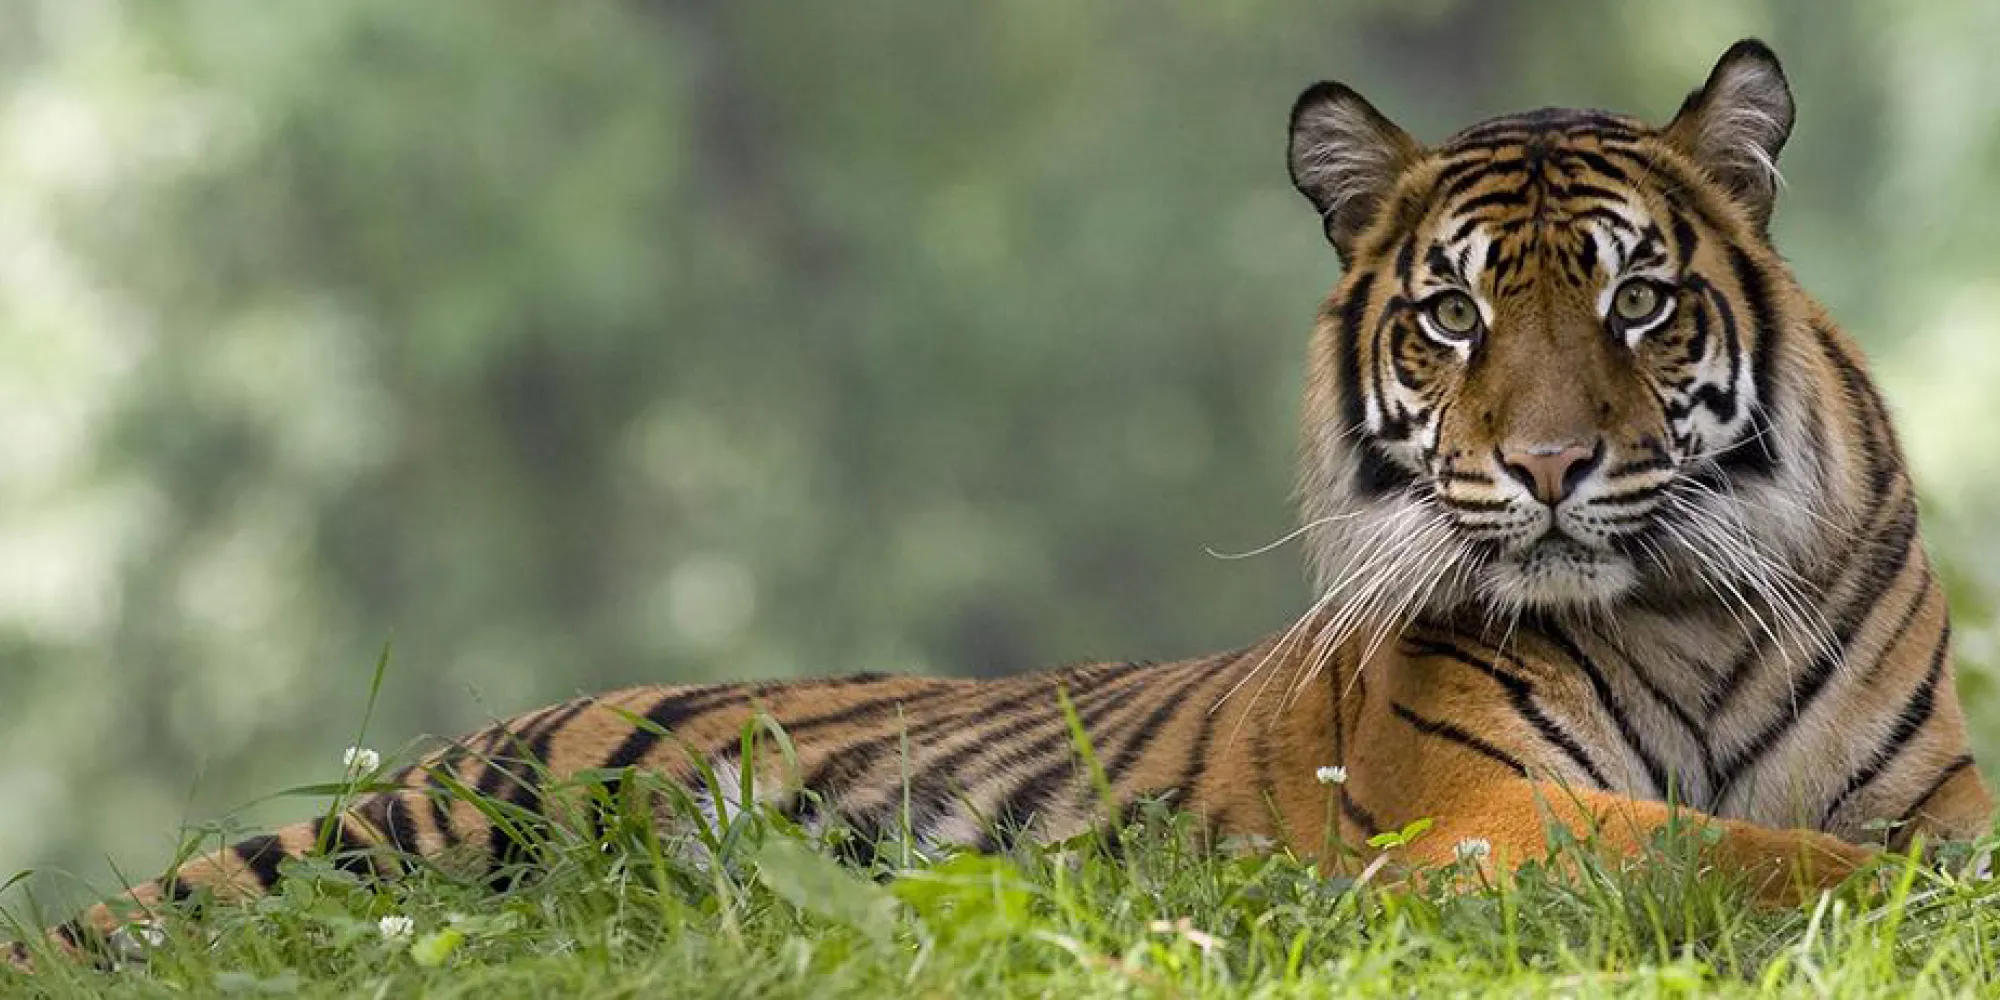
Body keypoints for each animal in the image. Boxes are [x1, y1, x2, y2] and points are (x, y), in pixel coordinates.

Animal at [12, 38, 1993, 969]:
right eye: (1454, 318)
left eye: (1634, 299)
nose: (1553, 468)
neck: (1681, 605)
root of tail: (448, 740)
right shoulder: (1481, 818)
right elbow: (1747, 854)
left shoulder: (1919, 779)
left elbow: (1867, 839)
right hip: (394, 849)